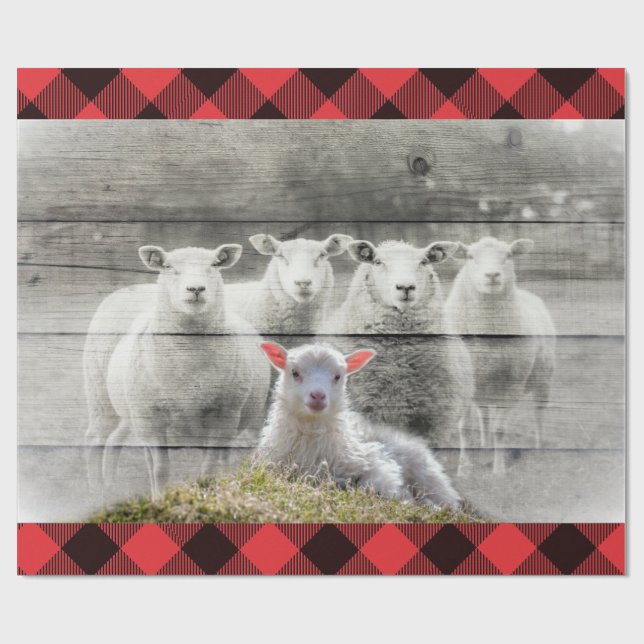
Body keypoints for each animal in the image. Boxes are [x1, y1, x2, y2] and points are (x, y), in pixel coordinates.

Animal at [83, 244, 271, 498]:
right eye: (168, 266)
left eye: (214, 265)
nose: (196, 289)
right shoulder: (152, 418)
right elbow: (161, 469)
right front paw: (160, 498)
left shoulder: (224, 414)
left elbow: (208, 467)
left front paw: (208, 495)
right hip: (104, 397)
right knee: (98, 438)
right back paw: (97, 490)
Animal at [255, 342, 460, 507]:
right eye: (295, 373)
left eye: (338, 376)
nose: (318, 396)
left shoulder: (376, 463)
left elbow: (375, 485)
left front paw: (406, 499)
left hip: (428, 476)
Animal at [444, 236, 556, 474]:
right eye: (470, 256)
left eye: (509, 255)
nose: (492, 275)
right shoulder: (464, 382)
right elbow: (464, 428)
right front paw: (464, 468)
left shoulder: (511, 384)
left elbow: (500, 429)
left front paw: (499, 470)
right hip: (482, 386)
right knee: (484, 415)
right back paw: (484, 447)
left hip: (543, 379)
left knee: (538, 414)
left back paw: (539, 449)